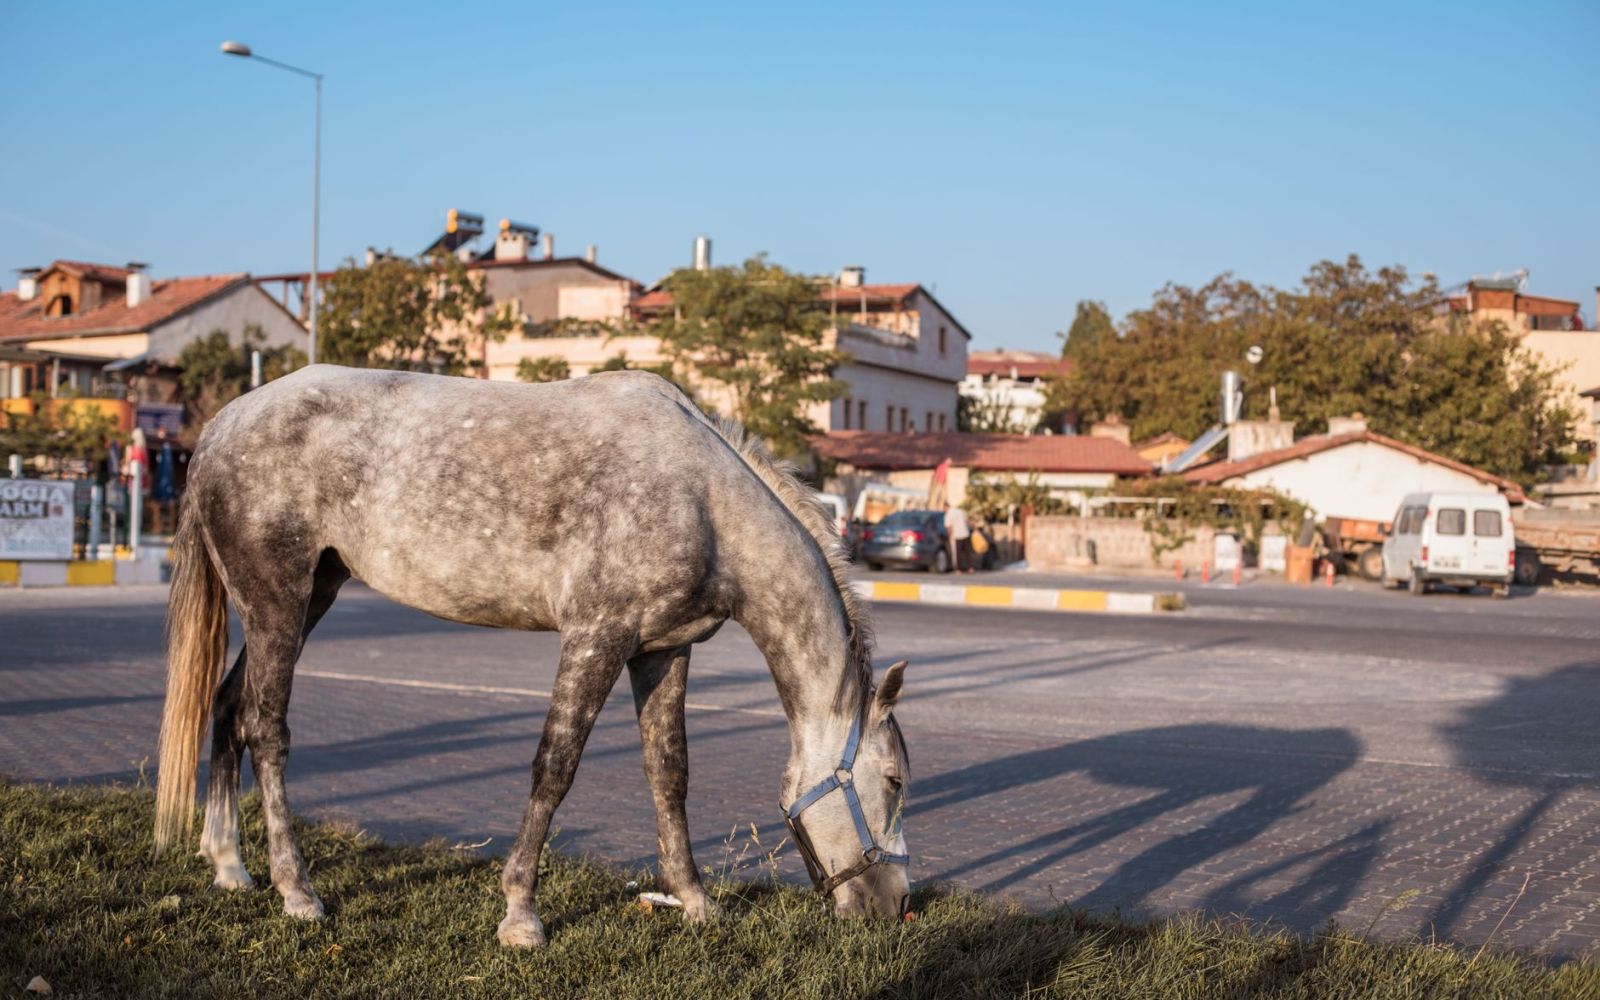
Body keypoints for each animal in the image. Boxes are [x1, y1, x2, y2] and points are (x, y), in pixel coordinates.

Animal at [153, 364, 911, 947]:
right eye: (896, 780)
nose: (895, 905)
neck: (704, 500)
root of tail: (219, 427)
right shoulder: (595, 636)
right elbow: (555, 768)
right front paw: (521, 914)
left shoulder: (662, 652)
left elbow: (669, 773)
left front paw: (695, 900)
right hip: (278, 603)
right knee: (267, 729)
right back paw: (296, 890)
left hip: (308, 596)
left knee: (228, 706)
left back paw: (229, 864)